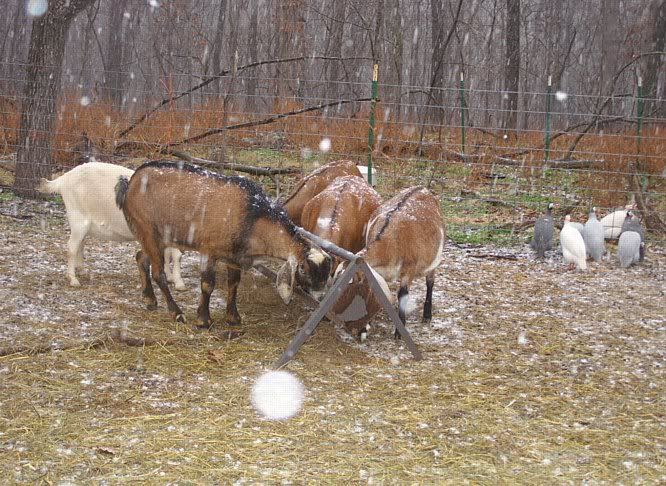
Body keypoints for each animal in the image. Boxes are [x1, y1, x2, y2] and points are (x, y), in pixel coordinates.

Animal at [37, 162, 184, 289]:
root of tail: (64, 179)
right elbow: (176, 255)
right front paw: (179, 283)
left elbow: (167, 254)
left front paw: (170, 277)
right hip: (78, 218)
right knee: (71, 247)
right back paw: (73, 279)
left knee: (80, 243)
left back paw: (81, 270)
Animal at [115, 160, 332, 327]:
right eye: (304, 270)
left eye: (326, 273)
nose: (321, 298)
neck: (253, 217)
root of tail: (131, 180)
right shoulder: (209, 249)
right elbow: (207, 284)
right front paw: (203, 320)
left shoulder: (234, 256)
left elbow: (233, 283)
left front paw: (233, 318)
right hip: (147, 228)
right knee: (158, 273)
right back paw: (176, 313)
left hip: (155, 236)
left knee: (141, 257)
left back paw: (150, 299)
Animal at [332, 186, 445, 339]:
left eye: (348, 283)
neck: (390, 242)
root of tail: (422, 188)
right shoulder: (375, 271)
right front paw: (364, 328)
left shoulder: (409, 269)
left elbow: (403, 295)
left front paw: (399, 331)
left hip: (434, 261)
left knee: (430, 282)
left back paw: (427, 314)